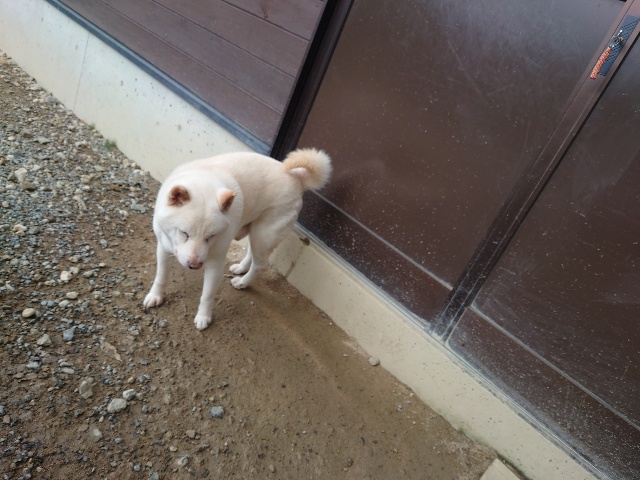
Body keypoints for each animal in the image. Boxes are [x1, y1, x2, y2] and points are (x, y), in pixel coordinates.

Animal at [143, 148, 332, 330]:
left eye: (210, 236)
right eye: (184, 233)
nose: (195, 265)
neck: (204, 182)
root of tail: (296, 176)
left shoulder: (215, 264)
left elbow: (207, 295)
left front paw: (203, 317)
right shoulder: (164, 248)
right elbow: (161, 276)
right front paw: (155, 296)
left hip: (264, 235)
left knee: (260, 265)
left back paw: (243, 282)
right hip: (255, 231)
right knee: (252, 254)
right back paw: (241, 268)